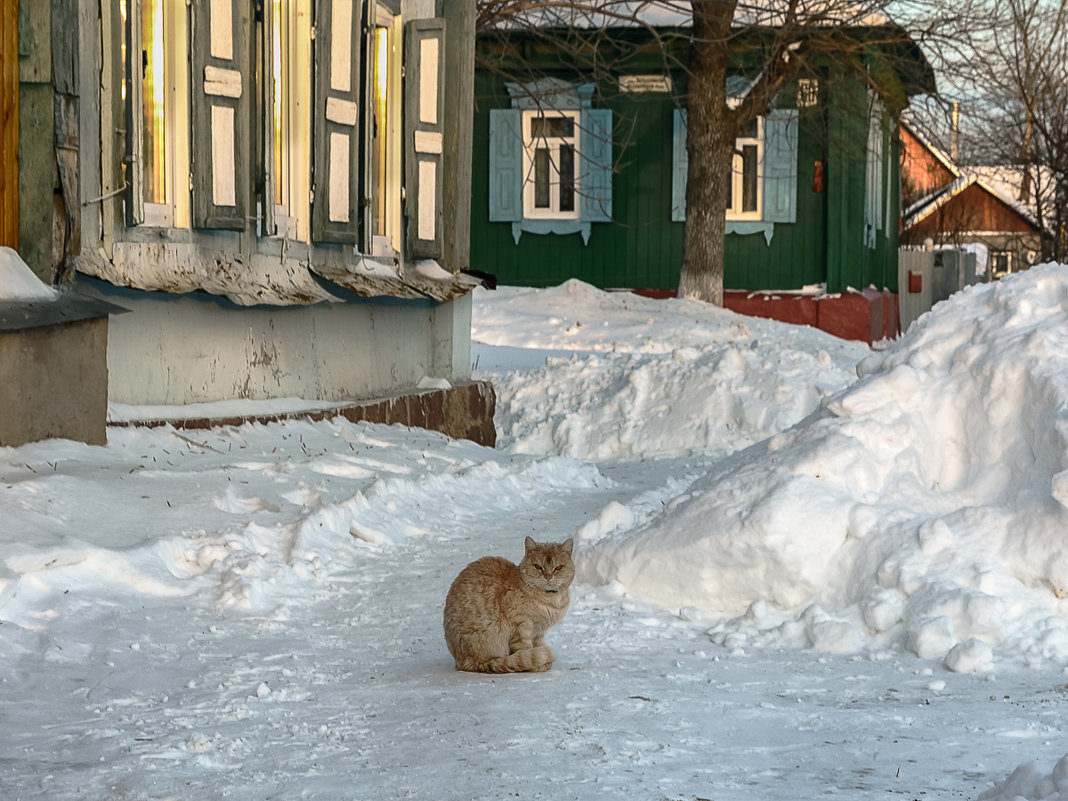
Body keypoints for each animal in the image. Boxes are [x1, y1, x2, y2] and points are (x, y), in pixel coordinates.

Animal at [442, 536, 576, 674]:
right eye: (537, 566)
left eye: (558, 567)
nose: (548, 576)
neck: (549, 599)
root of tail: (463, 662)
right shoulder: (521, 627)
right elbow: (527, 651)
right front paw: (537, 665)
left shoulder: (538, 631)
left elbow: (537, 645)